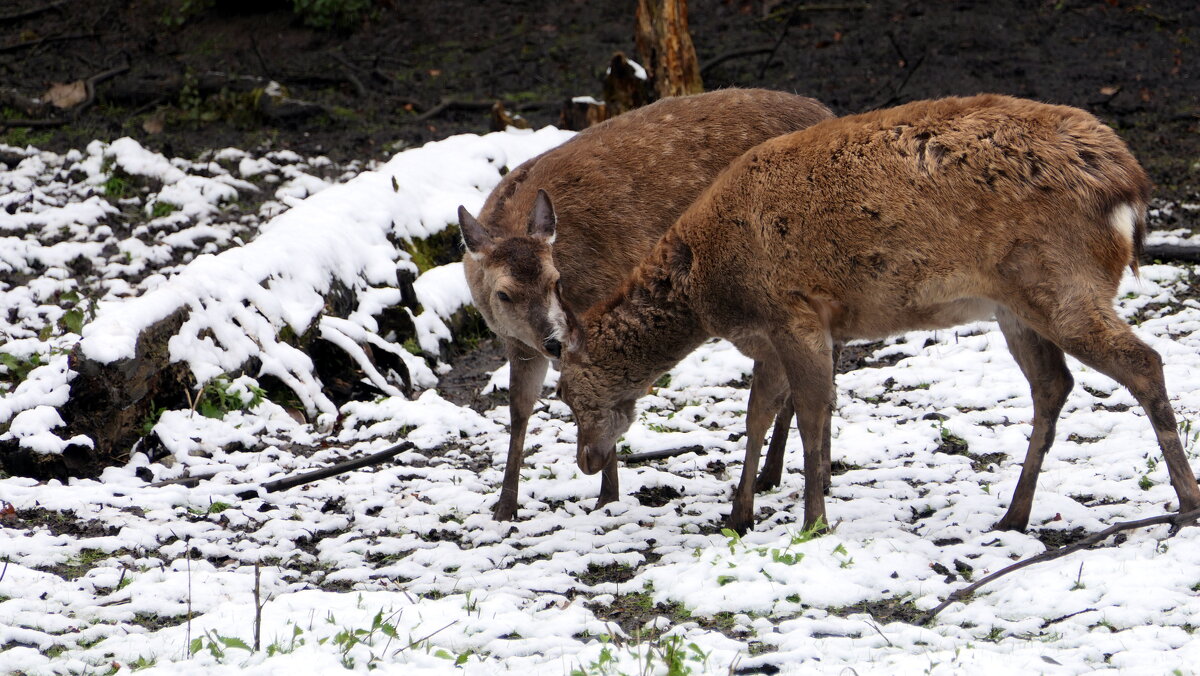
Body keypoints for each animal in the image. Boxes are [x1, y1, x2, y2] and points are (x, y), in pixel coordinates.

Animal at [458, 88, 835, 523]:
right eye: (504, 294)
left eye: (557, 281)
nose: (553, 341)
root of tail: (827, 110)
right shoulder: (518, 343)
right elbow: (519, 411)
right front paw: (504, 508)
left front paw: (608, 496)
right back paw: (781, 476)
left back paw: (802, 476)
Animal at [559, 92, 1200, 535]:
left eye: (566, 391)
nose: (587, 462)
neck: (711, 289)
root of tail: (1131, 188)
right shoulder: (775, 334)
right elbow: (759, 413)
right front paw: (740, 514)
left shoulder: (794, 310)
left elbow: (813, 412)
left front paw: (812, 520)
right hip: (1015, 304)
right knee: (1053, 384)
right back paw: (1014, 516)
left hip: (1062, 281)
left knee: (1143, 362)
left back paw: (1186, 505)